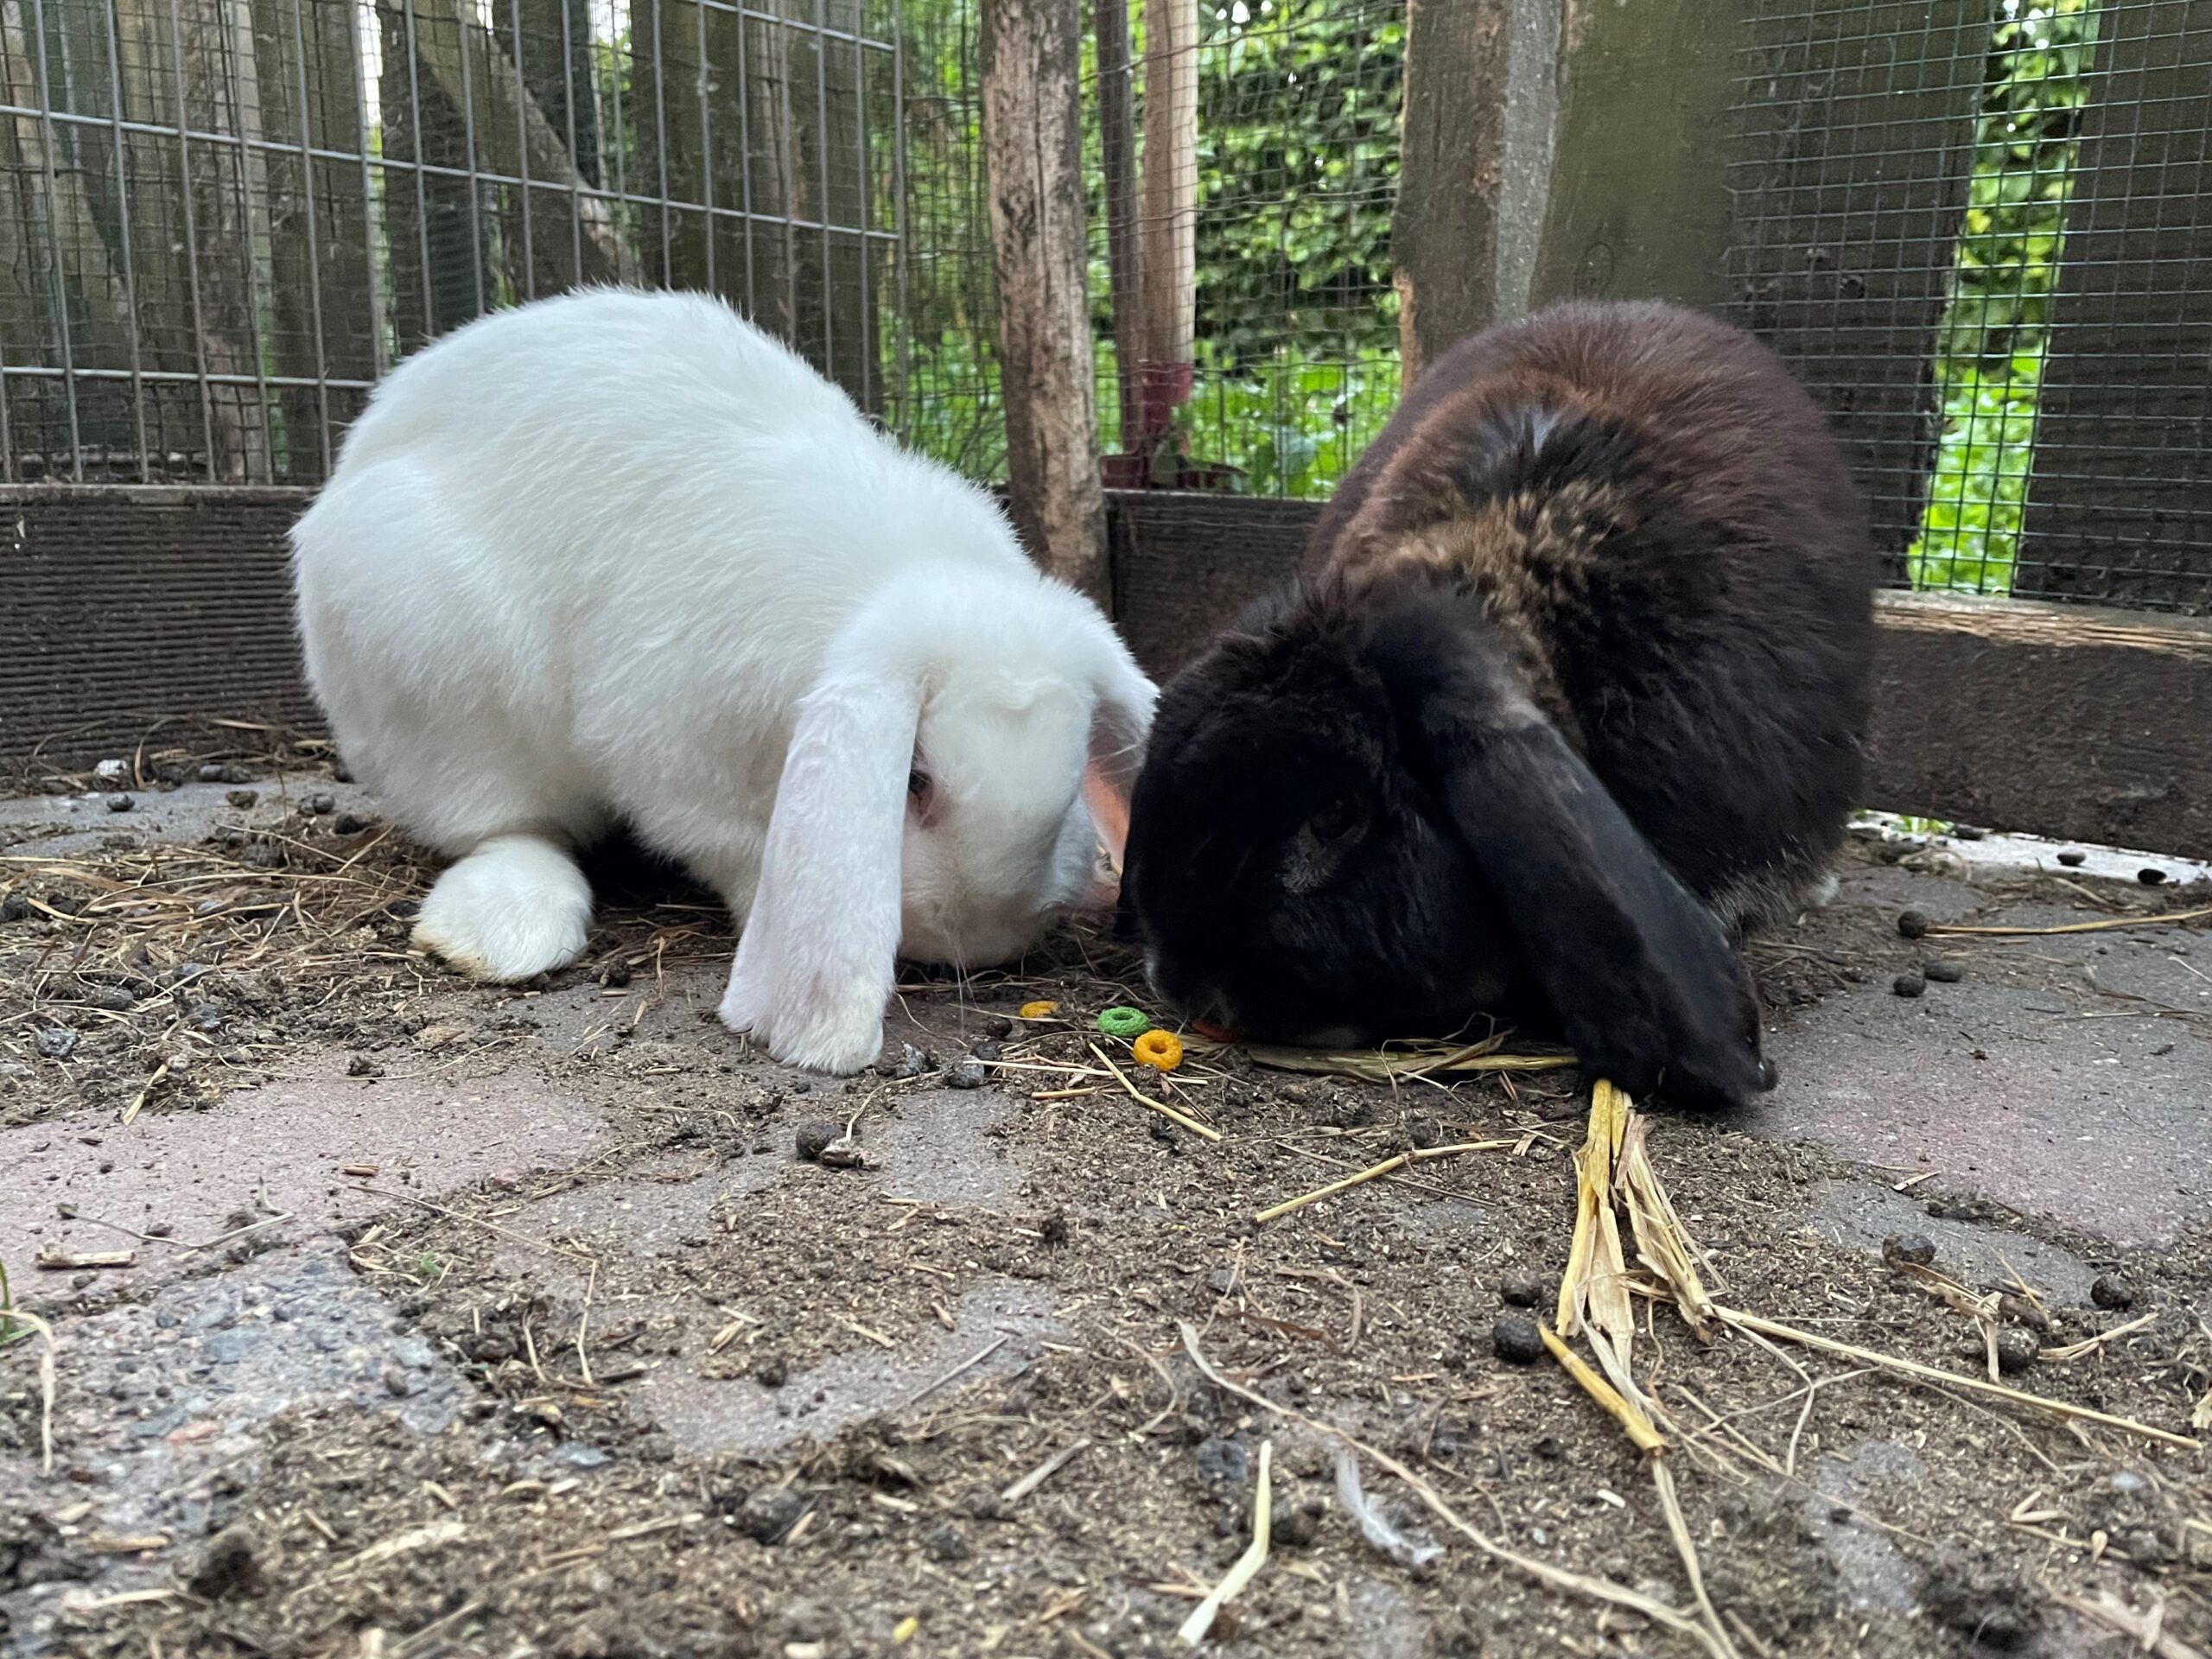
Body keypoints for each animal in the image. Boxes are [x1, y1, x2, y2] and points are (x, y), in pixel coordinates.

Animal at [293, 288, 1155, 1075]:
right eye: (913, 780)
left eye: (1069, 788)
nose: (981, 944)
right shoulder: (677, 763)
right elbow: (726, 847)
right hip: (437, 681)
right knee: (505, 825)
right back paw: (504, 930)